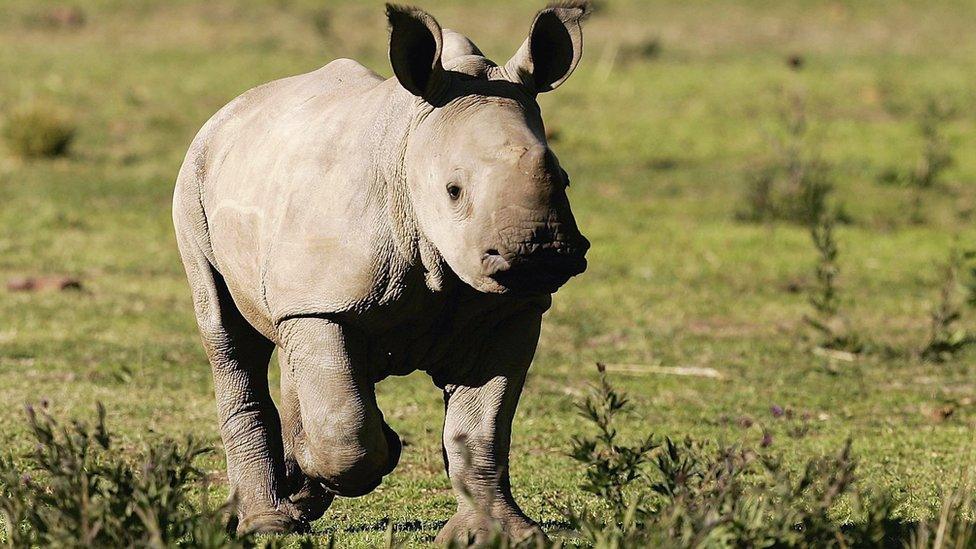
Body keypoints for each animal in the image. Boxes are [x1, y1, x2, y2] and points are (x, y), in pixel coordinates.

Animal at [172, 1, 592, 540]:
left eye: (564, 178)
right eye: (454, 190)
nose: (543, 252)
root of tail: (229, 111)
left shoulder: (511, 308)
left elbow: (483, 429)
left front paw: (501, 535)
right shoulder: (322, 303)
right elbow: (344, 431)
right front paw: (367, 452)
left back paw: (296, 488)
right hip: (194, 181)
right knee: (229, 338)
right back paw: (270, 523)